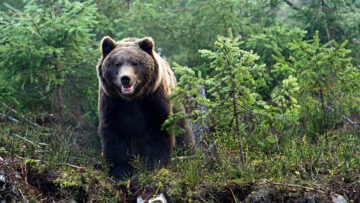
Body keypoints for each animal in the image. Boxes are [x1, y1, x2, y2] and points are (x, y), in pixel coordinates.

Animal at [96, 36, 194, 179]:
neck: (132, 99)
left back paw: (188, 154)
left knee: (182, 130)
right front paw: (121, 171)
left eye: (135, 62)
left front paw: (155, 166)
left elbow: (158, 131)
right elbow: (115, 135)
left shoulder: (153, 99)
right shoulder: (112, 103)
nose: (125, 78)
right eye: (116, 63)